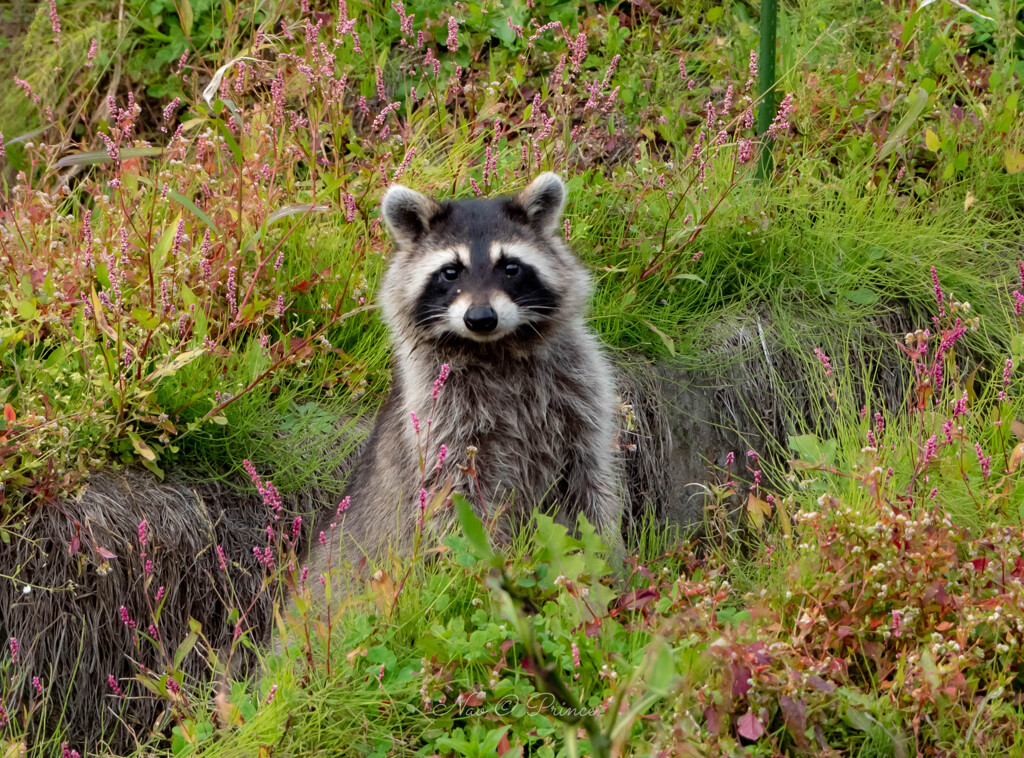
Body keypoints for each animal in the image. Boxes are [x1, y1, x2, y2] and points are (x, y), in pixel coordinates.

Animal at [311, 172, 618, 573]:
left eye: (511, 267)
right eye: (450, 272)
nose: (481, 318)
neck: (493, 348)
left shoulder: (579, 387)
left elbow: (588, 482)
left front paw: (606, 555)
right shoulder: (436, 409)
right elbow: (456, 495)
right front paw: (486, 563)